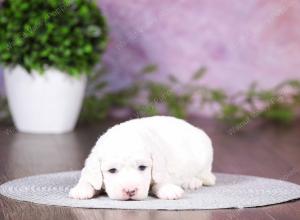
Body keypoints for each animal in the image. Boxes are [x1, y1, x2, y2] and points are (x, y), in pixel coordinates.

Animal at [69, 116, 216, 200]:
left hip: (204, 151)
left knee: (205, 174)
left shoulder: (160, 166)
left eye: (142, 167)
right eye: (112, 170)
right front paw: (81, 190)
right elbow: (87, 179)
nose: (130, 191)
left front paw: (169, 189)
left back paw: (193, 181)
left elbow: (161, 179)